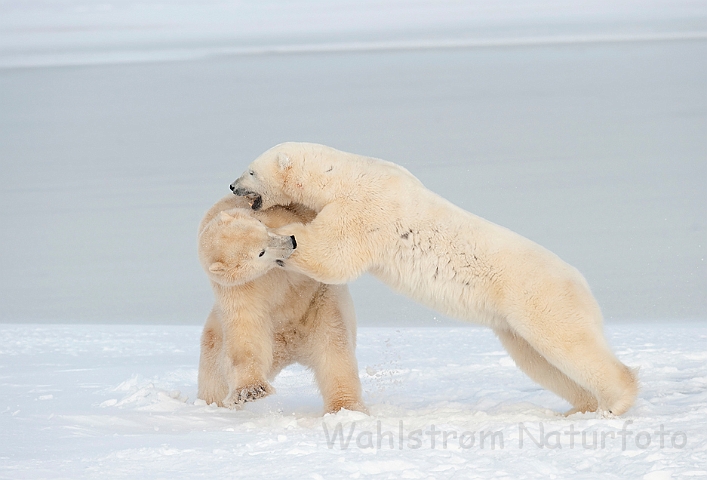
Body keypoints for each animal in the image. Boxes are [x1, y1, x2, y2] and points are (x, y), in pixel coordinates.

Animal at [198, 193, 366, 414]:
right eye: (260, 252)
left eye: (260, 224)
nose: (291, 241)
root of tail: (292, 348)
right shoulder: (238, 288)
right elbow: (246, 326)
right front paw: (251, 391)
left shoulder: (284, 216)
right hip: (235, 335)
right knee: (214, 373)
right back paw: (212, 404)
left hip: (321, 310)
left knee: (334, 351)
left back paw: (346, 407)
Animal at [230, 141, 640, 414]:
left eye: (250, 170)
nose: (232, 186)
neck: (346, 176)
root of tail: (582, 284)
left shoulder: (369, 208)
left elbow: (333, 253)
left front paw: (279, 236)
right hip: (514, 324)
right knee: (541, 362)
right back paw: (582, 407)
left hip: (539, 299)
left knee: (570, 344)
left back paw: (615, 403)